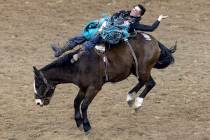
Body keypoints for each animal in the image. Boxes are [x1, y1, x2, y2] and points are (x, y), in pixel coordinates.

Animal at [33, 32, 176, 132]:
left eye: (39, 84)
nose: (38, 102)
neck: (78, 65)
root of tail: (153, 40)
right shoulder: (83, 87)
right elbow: (76, 102)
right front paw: (78, 122)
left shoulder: (94, 88)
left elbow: (84, 105)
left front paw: (87, 126)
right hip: (137, 70)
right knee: (149, 83)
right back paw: (133, 101)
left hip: (142, 69)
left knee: (146, 82)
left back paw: (134, 101)